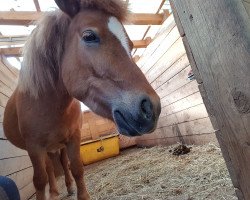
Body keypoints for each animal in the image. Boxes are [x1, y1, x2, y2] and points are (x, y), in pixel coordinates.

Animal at [3, 0, 160, 200]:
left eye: (131, 45)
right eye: (89, 36)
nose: (151, 108)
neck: (47, 106)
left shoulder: (73, 137)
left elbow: (76, 167)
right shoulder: (34, 146)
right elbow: (39, 180)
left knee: (62, 163)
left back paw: (68, 187)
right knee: (49, 170)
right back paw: (54, 192)